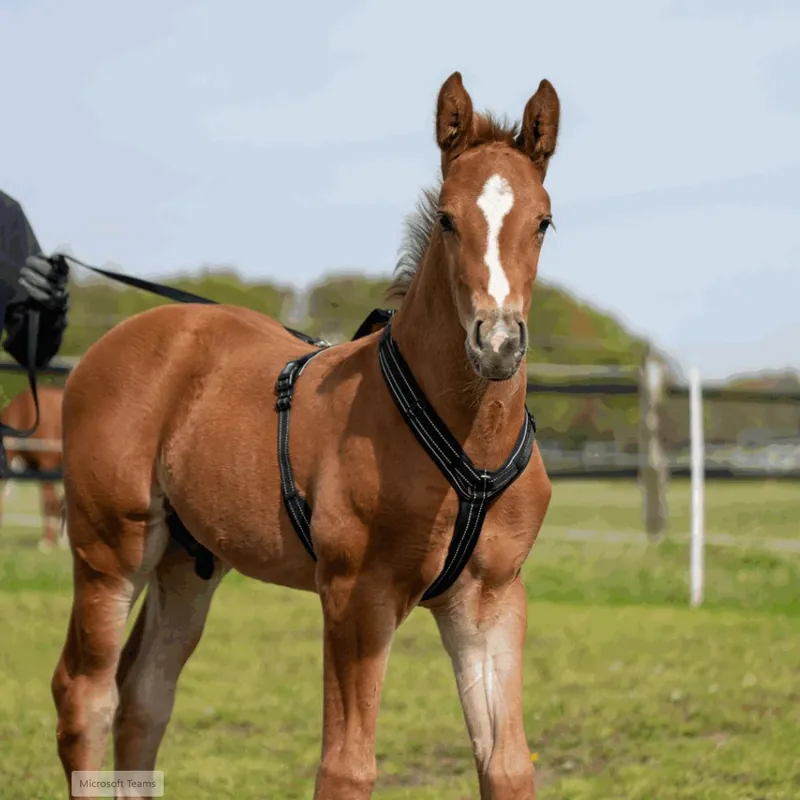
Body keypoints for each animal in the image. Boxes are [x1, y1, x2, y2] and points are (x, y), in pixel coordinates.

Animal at [51, 71, 559, 799]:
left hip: (187, 563)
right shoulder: (354, 595)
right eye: (447, 219)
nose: (496, 343)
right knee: (86, 697)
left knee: (143, 698)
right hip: (109, 552)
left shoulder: (491, 598)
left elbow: (507, 766)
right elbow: (346, 767)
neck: (468, 448)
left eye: (543, 221)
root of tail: (109, 346)